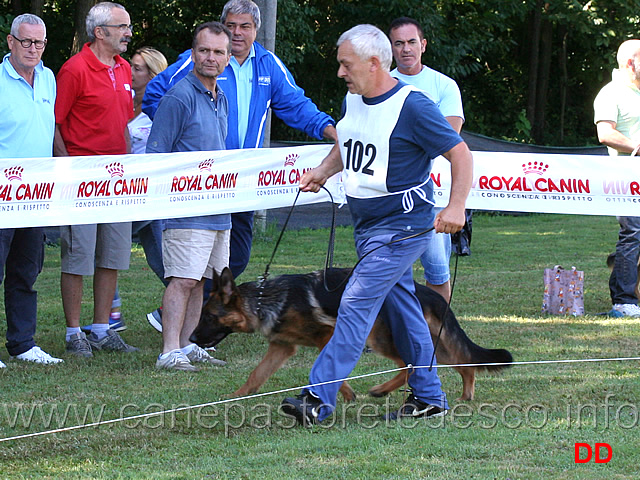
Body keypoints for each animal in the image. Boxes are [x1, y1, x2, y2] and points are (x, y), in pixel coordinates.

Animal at [191, 266, 516, 402]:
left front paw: (345, 395)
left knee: (412, 366)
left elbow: (328, 367)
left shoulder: (329, 335)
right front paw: (236, 396)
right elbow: (256, 374)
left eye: (208, 316)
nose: (192, 340)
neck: (263, 300)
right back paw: (466, 393)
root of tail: (424, 291)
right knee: (458, 363)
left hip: (381, 338)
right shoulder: (282, 347)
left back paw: (382, 389)